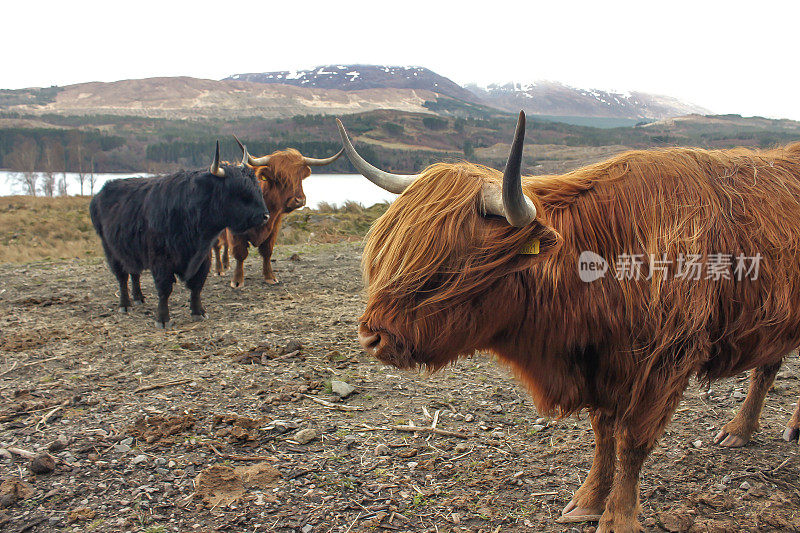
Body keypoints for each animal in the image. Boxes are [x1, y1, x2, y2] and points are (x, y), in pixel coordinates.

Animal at [89, 141, 268, 326]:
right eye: (240, 192)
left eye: (257, 188)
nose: (265, 216)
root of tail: (102, 192)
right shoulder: (161, 260)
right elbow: (164, 289)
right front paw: (163, 319)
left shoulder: (203, 258)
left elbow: (197, 286)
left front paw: (198, 312)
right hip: (111, 251)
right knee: (122, 277)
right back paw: (125, 304)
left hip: (131, 251)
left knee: (134, 273)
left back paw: (139, 298)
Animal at [212, 139, 340, 284]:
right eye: (280, 177)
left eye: (300, 176)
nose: (299, 201)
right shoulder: (236, 232)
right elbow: (240, 253)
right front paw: (237, 281)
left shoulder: (274, 226)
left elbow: (267, 251)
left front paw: (270, 277)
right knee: (217, 246)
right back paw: (219, 269)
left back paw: (226, 265)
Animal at [336, 113, 800, 532]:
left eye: (447, 267)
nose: (371, 336)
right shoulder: (602, 363)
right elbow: (603, 433)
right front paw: (590, 499)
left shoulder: (666, 360)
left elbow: (632, 440)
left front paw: (618, 518)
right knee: (768, 366)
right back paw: (741, 430)